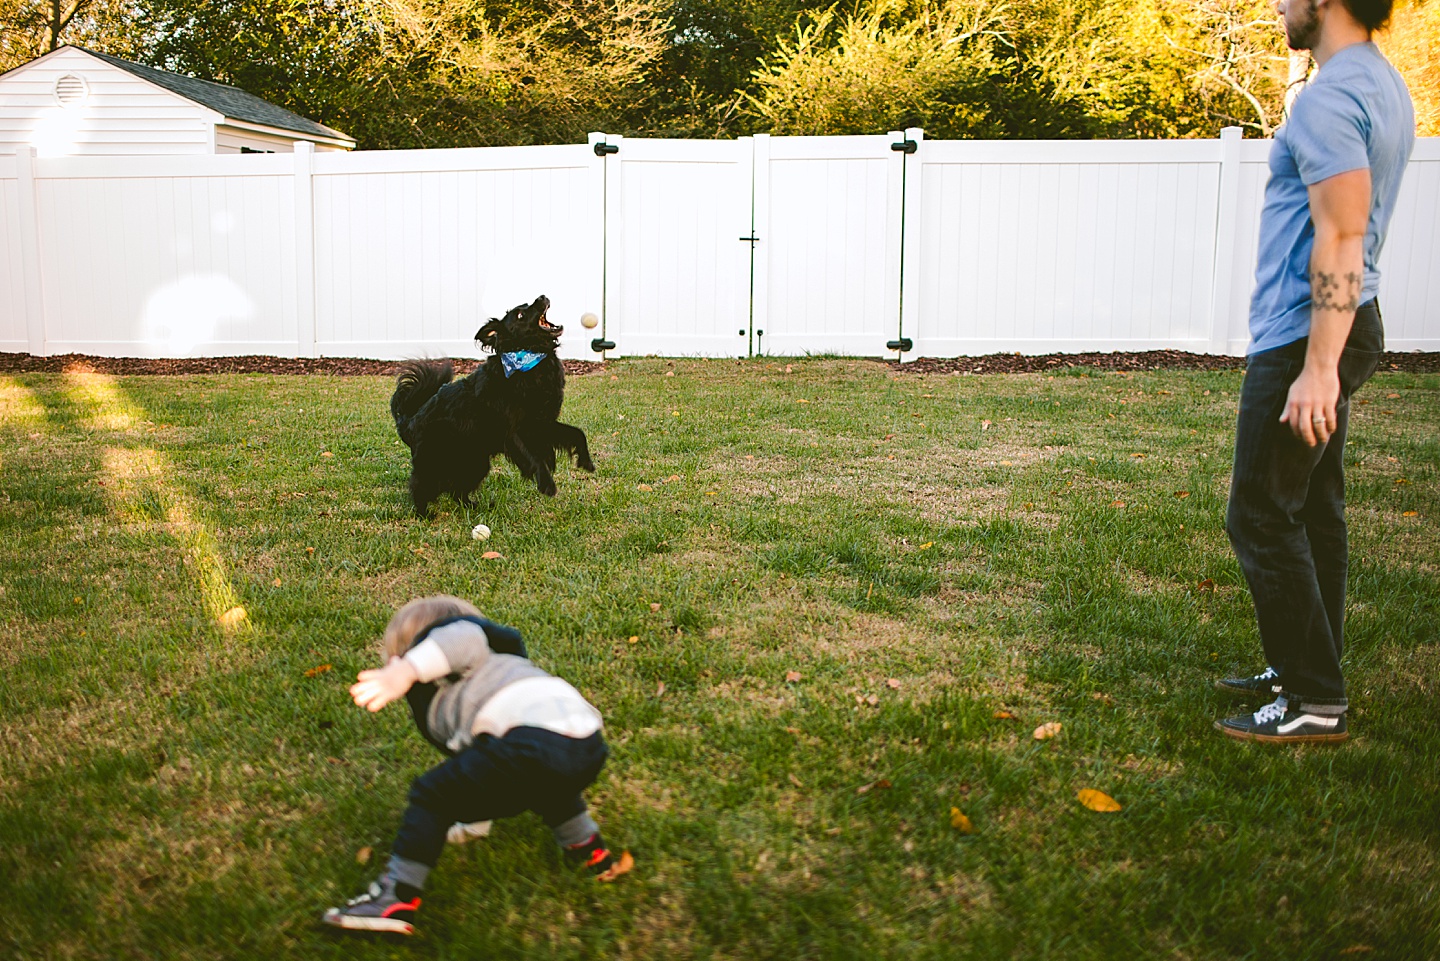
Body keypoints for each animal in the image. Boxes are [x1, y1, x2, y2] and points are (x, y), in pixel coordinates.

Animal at [388, 295, 590, 515]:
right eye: (520, 315)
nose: (542, 297)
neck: (526, 360)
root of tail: (409, 422)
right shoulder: (512, 432)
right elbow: (535, 459)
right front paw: (547, 484)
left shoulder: (542, 422)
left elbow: (577, 433)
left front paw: (586, 461)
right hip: (435, 465)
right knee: (420, 487)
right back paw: (424, 514)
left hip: (476, 463)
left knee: (457, 491)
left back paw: (473, 506)